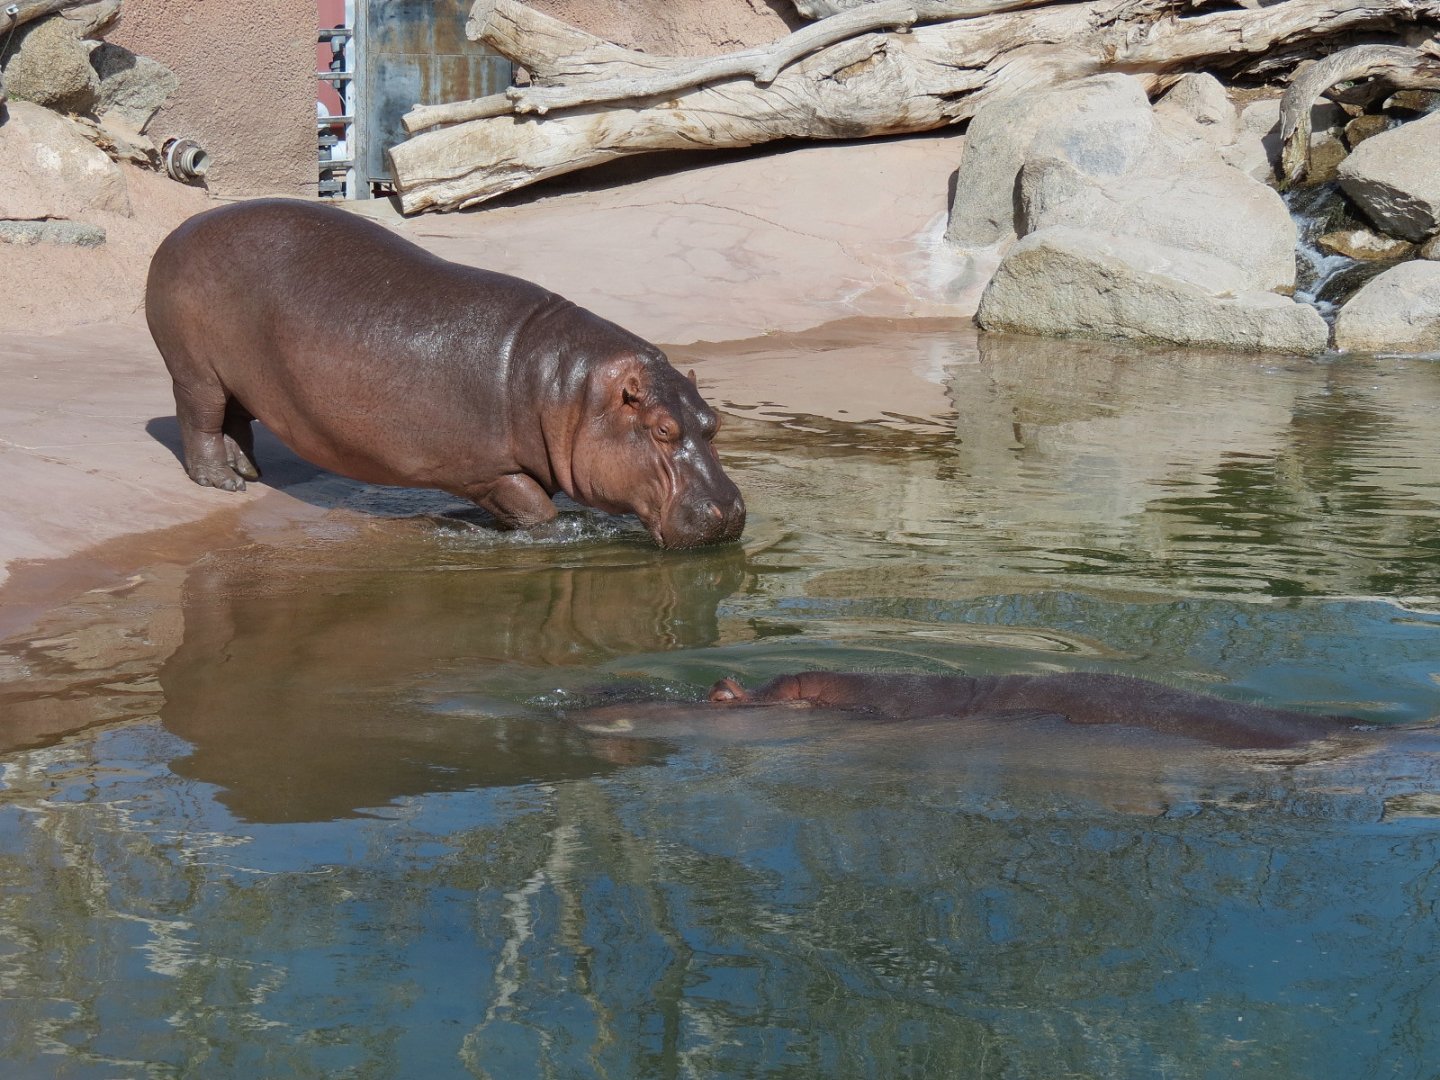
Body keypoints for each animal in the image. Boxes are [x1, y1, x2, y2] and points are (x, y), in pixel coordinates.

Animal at [145, 199, 744, 549]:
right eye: (663, 429)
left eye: (712, 422)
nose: (731, 510)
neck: (566, 393)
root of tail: (179, 229)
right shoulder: (487, 472)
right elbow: (538, 513)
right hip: (194, 368)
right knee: (199, 418)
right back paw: (221, 482)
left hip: (239, 378)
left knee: (235, 421)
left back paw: (249, 472)